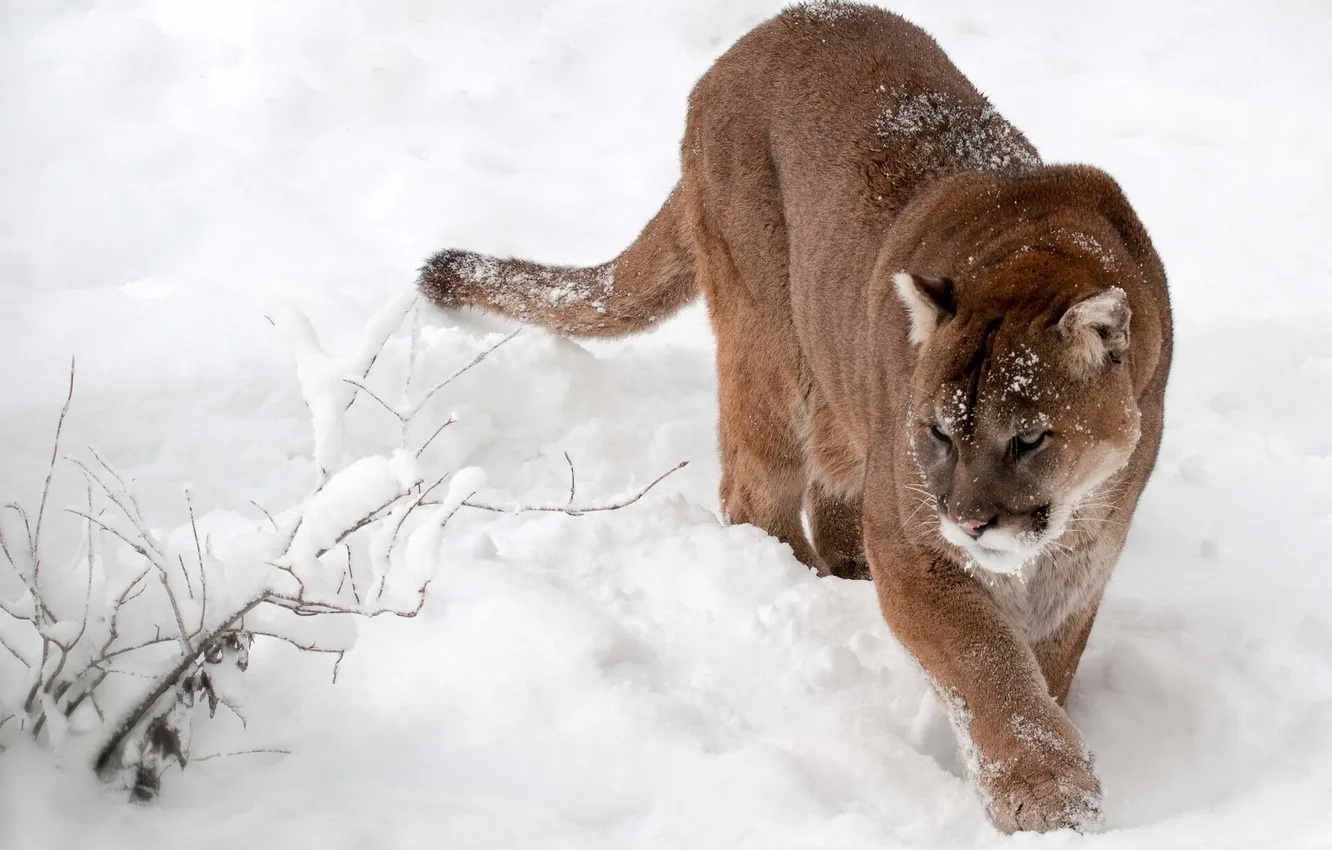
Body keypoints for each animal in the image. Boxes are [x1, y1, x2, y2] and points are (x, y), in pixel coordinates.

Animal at [417, 1, 1172, 834]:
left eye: (1030, 438)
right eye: (940, 433)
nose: (969, 520)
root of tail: (759, 36)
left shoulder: (1081, 563)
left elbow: (1044, 663)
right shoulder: (915, 541)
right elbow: (986, 660)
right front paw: (1049, 792)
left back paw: (842, 568)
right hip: (770, 345)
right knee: (755, 496)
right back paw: (799, 583)